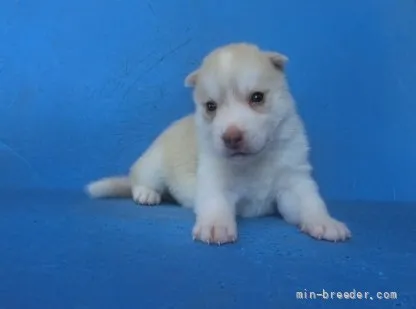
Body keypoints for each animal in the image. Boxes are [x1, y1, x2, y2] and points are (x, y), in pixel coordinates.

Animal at [87, 42, 352, 243]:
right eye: (211, 106)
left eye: (257, 97)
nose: (231, 137)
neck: (254, 161)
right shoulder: (214, 180)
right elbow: (216, 203)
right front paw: (215, 226)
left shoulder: (294, 182)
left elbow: (310, 203)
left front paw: (325, 222)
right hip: (153, 165)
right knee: (138, 179)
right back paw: (146, 193)